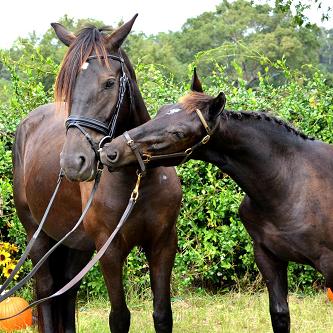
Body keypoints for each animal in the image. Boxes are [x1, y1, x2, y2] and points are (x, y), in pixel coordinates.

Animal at [12, 15, 182, 332]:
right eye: (67, 87)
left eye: (109, 83)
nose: (73, 162)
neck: (136, 180)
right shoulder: (109, 249)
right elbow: (119, 317)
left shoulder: (163, 244)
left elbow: (163, 314)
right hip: (37, 235)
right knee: (46, 290)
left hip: (75, 243)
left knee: (67, 290)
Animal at [100, 72, 332, 332]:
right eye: (162, 110)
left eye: (178, 133)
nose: (110, 151)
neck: (289, 185)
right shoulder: (268, 258)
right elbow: (280, 314)